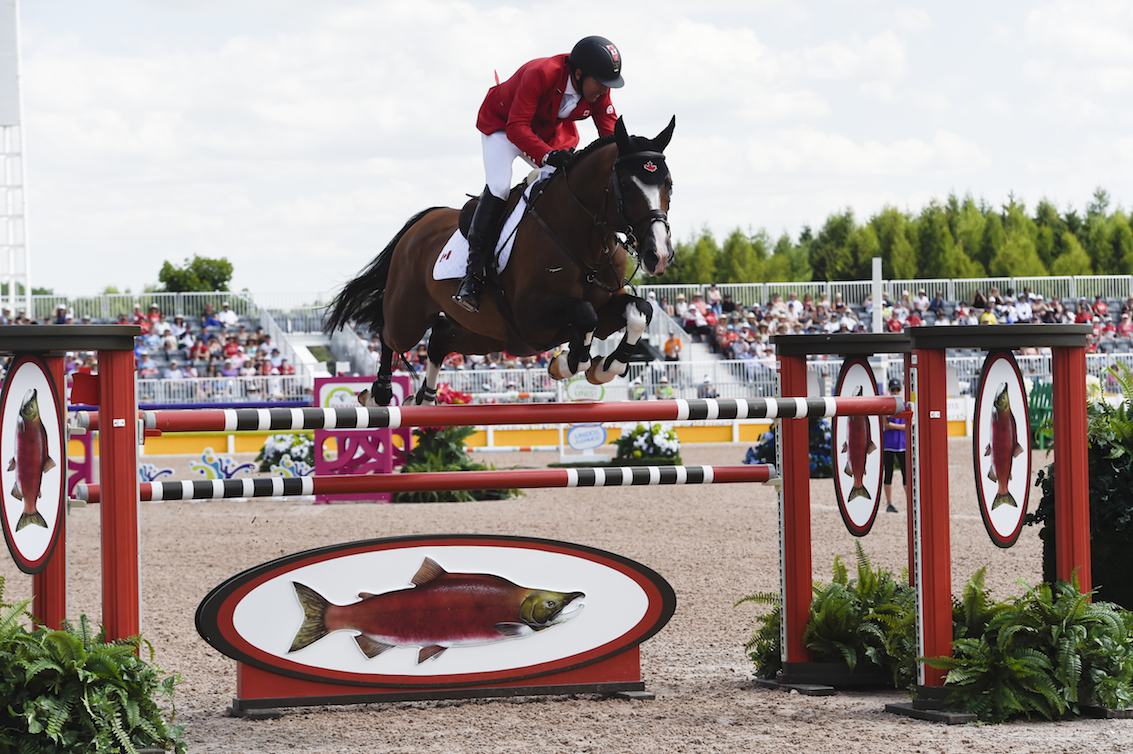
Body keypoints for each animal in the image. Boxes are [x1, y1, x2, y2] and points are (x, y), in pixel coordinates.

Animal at [325, 115, 676, 406]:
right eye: (627, 186)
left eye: (668, 184)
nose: (658, 255)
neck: (582, 238)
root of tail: (419, 225)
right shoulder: (532, 316)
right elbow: (585, 315)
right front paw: (566, 363)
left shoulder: (603, 309)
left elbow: (639, 311)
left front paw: (604, 367)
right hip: (410, 316)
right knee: (388, 333)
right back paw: (379, 394)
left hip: (487, 335)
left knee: (439, 338)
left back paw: (424, 398)